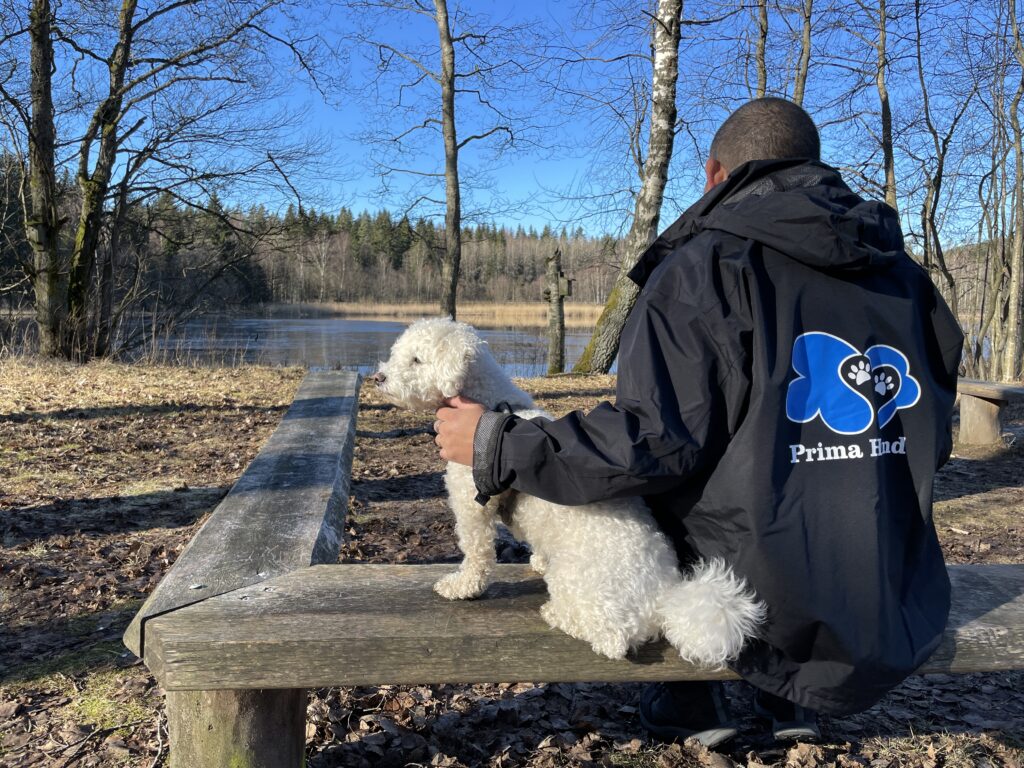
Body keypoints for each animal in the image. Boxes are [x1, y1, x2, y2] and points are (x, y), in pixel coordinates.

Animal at [372, 319, 765, 667]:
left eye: (417, 359)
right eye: (397, 353)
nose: (379, 377)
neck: (491, 409)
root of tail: (665, 596)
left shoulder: (473, 506)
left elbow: (477, 554)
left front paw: (462, 586)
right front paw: (535, 559)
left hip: (579, 584)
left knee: (612, 640)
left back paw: (558, 614)